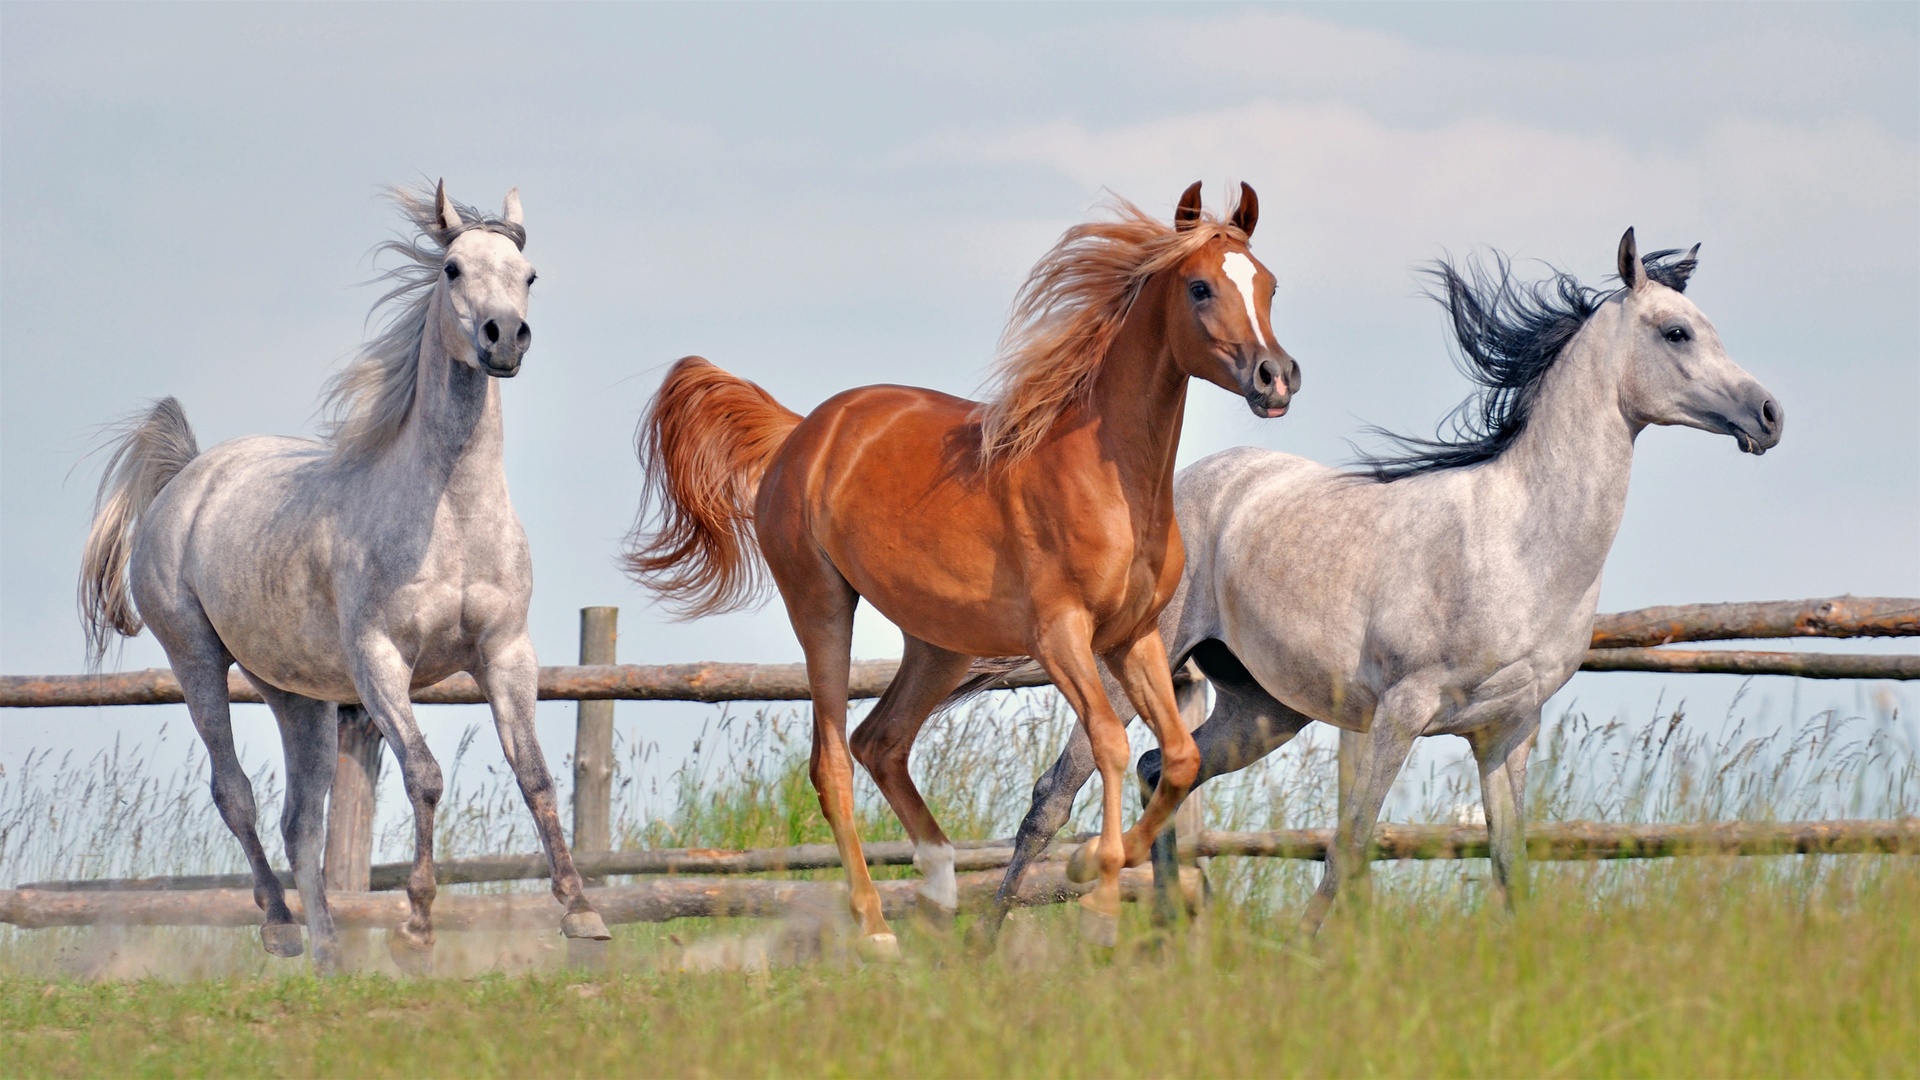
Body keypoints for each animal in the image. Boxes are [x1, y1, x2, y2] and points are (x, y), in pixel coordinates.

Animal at [78, 182, 609, 974]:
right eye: (452, 267)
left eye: (530, 274)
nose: (504, 338)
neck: (448, 513)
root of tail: (189, 478)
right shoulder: (379, 661)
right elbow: (425, 775)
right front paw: (416, 926)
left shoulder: (506, 653)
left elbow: (536, 775)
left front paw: (582, 913)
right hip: (197, 659)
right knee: (235, 792)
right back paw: (281, 927)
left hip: (297, 695)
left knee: (301, 819)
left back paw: (330, 951)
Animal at [623, 182, 1300, 954]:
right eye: (1199, 287)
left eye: (1269, 284)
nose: (1276, 379)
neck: (1107, 477)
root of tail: (801, 433)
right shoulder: (1061, 636)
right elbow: (1109, 742)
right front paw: (1097, 899)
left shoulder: (1134, 637)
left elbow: (1180, 756)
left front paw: (1089, 865)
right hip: (821, 605)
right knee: (832, 760)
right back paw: (877, 928)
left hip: (940, 643)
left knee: (880, 741)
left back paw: (942, 892)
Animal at [978, 229, 1783, 939]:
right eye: (1676, 333)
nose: (1769, 415)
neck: (1518, 542)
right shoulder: (1401, 711)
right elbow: (1352, 846)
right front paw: (1310, 953)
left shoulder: (1507, 730)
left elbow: (1509, 864)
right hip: (1129, 671)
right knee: (1054, 797)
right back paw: (985, 946)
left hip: (1261, 710)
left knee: (1162, 768)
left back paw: (1172, 937)